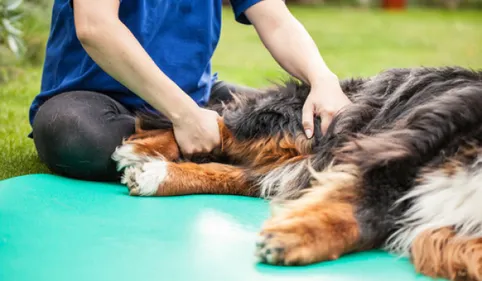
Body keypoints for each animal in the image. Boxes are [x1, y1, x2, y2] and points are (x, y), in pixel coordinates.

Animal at [110, 66, 482, 280]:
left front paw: (295, 239)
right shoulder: (398, 150)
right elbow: (363, 212)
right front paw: (293, 237)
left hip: (301, 160)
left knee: (242, 173)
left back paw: (155, 175)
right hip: (307, 125)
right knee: (218, 123)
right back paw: (143, 149)